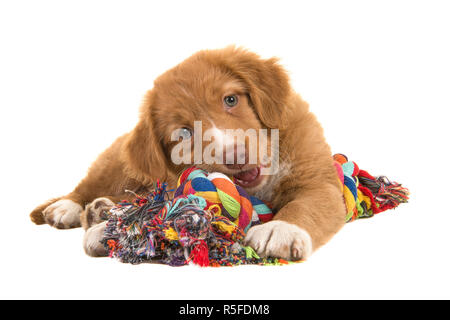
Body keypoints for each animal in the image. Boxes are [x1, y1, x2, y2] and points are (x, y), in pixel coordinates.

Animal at [29, 47, 346, 260]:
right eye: (183, 133)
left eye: (231, 100)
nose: (236, 156)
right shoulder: (176, 188)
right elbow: (160, 209)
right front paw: (114, 229)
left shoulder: (319, 184)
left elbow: (306, 205)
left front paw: (280, 229)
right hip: (113, 165)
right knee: (89, 186)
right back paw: (70, 208)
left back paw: (100, 210)